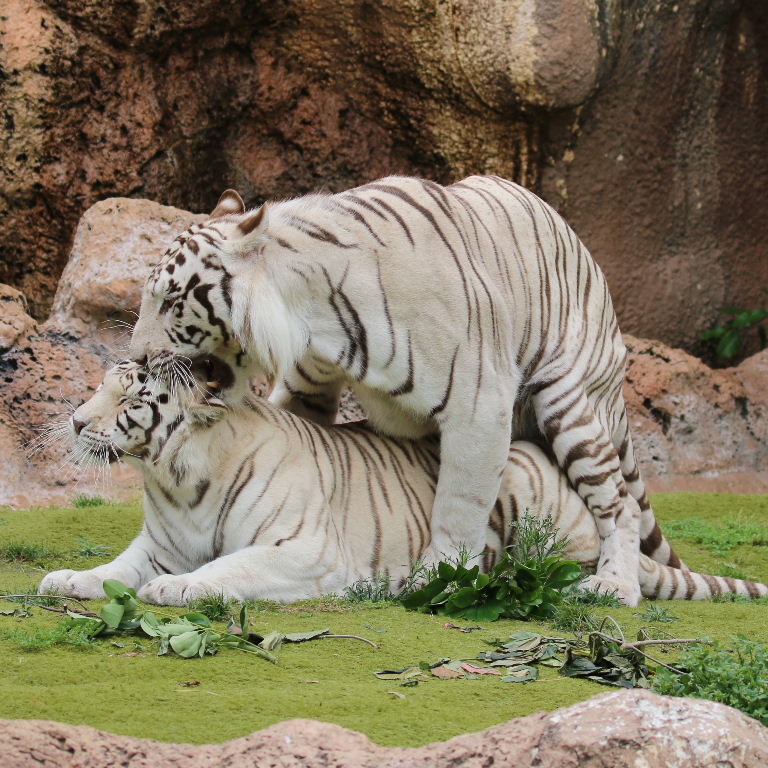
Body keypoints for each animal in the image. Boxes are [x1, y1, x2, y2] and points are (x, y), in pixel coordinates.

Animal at [37, 356, 768, 608]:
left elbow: (229, 568)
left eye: (133, 395)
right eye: (102, 382)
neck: (175, 479)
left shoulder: (304, 551)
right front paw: (65, 579)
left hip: (529, 486)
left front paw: (179, 588)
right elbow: (112, 570)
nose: (74, 421)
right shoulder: (156, 543)